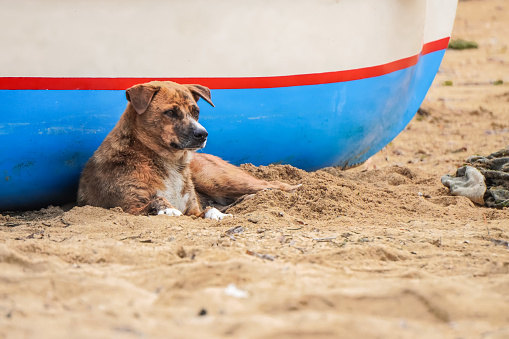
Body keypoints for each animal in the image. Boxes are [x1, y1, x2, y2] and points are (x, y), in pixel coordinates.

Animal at [77, 81, 300, 220]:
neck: (169, 163)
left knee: (274, 184)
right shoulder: (128, 207)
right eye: (170, 112)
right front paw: (167, 209)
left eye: (196, 111)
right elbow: (157, 199)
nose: (203, 134)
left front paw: (217, 214)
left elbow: (207, 209)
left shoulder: (193, 210)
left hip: (217, 179)